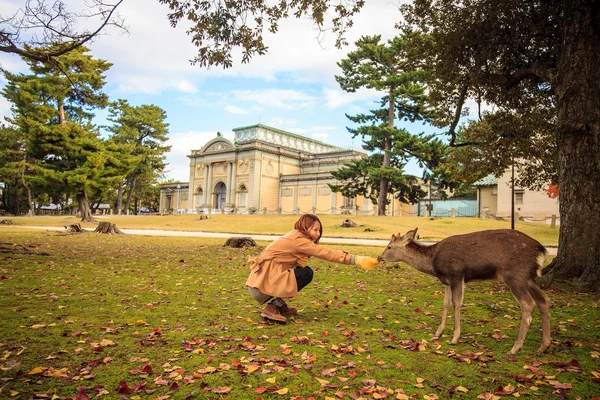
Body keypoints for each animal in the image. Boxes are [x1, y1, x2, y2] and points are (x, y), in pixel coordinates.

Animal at [378, 228, 552, 354]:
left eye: (389, 246)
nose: (379, 257)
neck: (432, 263)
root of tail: (541, 251)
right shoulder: (447, 280)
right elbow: (445, 303)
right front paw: (438, 333)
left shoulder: (456, 274)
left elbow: (456, 303)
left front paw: (454, 338)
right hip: (528, 278)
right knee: (544, 300)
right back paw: (544, 346)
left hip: (515, 274)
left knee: (528, 304)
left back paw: (515, 348)